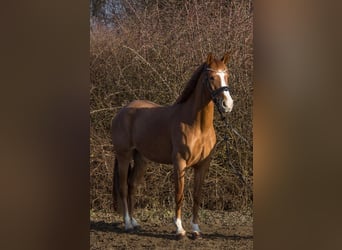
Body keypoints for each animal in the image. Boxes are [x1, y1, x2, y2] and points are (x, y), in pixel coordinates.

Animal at [111, 52, 234, 238]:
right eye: (212, 77)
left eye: (226, 76)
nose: (228, 105)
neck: (197, 126)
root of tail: (123, 111)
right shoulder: (180, 163)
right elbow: (179, 194)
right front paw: (179, 229)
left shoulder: (203, 165)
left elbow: (197, 195)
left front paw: (196, 229)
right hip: (124, 156)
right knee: (124, 187)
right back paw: (127, 224)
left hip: (141, 159)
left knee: (132, 186)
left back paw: (134, 222)